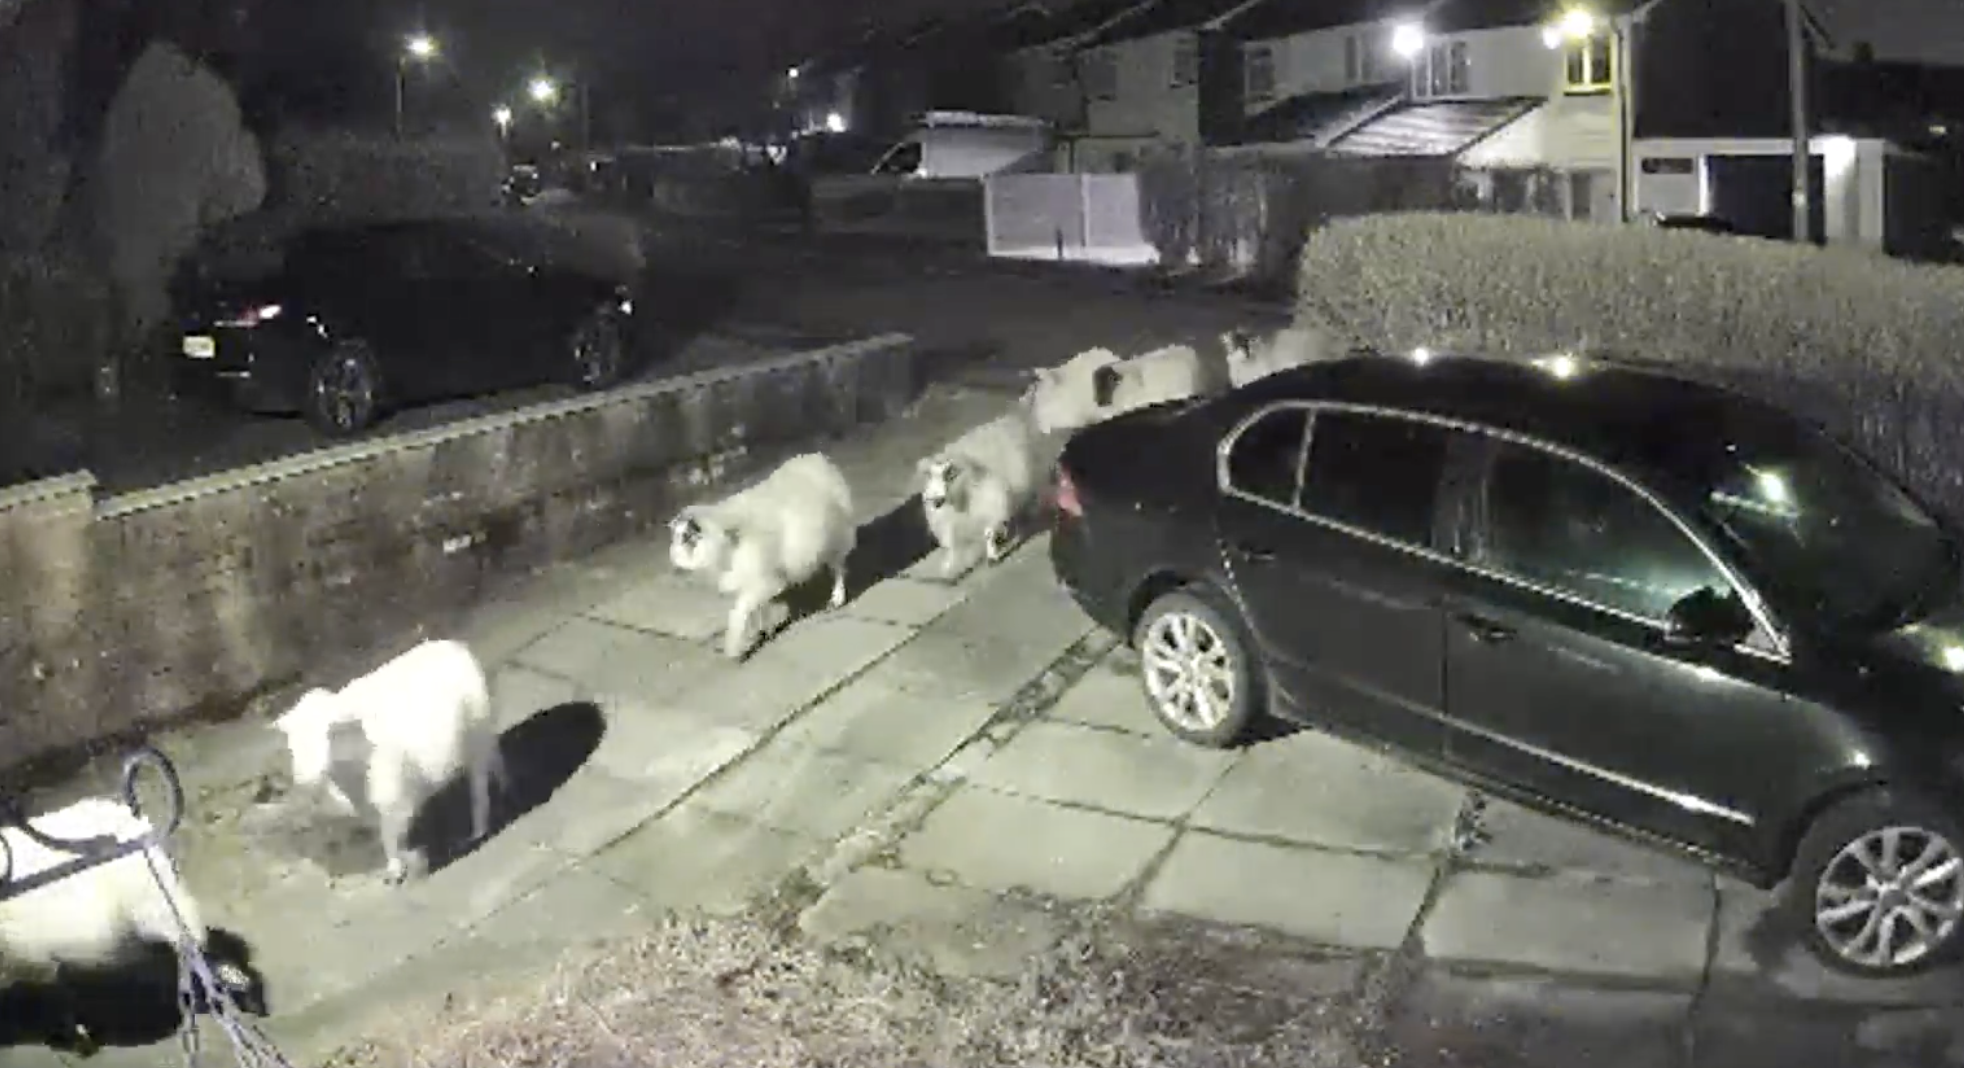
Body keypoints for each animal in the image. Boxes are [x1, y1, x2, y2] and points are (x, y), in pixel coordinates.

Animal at [274, 643, 506, 883]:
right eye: (291, 743)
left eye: (327, 734)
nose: (304, 777)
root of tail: (453, 645)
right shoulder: (365, 800)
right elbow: (384, 831)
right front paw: (402, 861)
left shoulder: (391, 794)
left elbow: (390, 833)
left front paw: (400, 866)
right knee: (493, 753)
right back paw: (503, 783)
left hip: (476, 731)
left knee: (479, 785)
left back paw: (479, 829)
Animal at [671, 451, 856, 659]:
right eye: (676, 536)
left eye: (686, 537)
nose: (675, 566)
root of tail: (816, 458)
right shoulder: (756, 580)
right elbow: (760, 608)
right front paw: (764, 631)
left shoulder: (764, 578)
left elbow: (740, 610)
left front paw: (733, 648)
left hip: (837, 536)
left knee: (839, 568)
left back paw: (837, 599)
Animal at [915, 398, 1044, 577]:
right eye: (929, 475)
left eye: (949, 474)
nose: (936, 500)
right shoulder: (950, 520)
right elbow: (952, 543)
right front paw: (950, 566)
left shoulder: (990, 505)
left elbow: (988, 533)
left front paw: (992, 557)